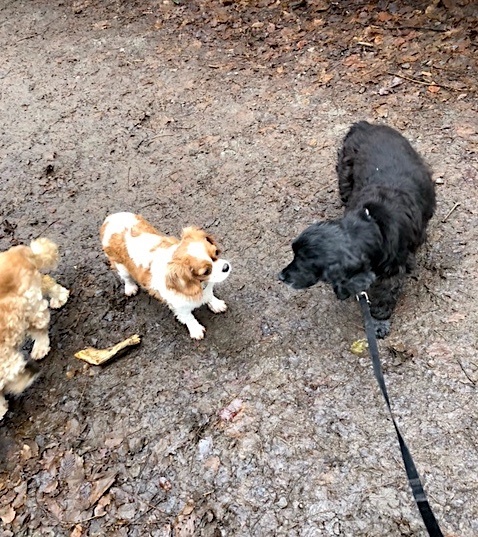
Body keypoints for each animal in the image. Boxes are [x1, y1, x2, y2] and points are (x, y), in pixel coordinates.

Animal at [0, 238, 69, 419]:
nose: (33, 371)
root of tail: (17, 252)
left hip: (29, 305)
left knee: (40, 328)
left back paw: (40, 347)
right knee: (45, 280)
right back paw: (60, 297)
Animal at [101, 213, 231, 340]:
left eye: (216, 253)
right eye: (206, 271)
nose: (226, 267)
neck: (200, 284)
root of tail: (110, 218)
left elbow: (209, 295)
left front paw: (215, 304)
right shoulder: (179, 306)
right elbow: (188, 317)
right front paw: (195, 329)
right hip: (121, 267)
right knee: (127, 278)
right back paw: (130, 287)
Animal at [279, 121, 436, 337]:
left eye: (305, 261)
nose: (281, 276)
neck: (372, 225)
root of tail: (366, 125)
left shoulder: (394, 270)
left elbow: (385, 297)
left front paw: (379, 322)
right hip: (345, 175)